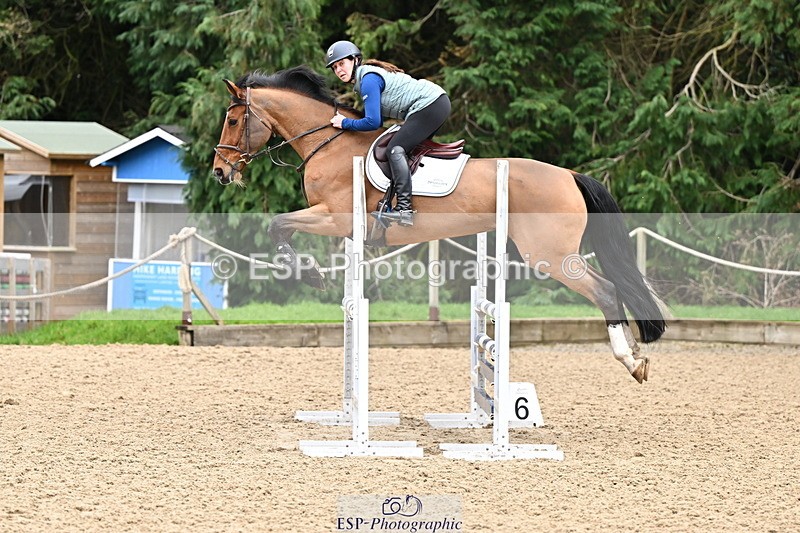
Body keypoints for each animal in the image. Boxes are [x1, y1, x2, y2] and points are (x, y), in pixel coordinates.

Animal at [212, 65, 666, 383]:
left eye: (233, 121)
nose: (220, 172)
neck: (329, 143)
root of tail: (570, 175)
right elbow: (281, 228)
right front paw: (310, 273)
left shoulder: (335, 217)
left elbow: (277, 226)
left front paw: (310, 275)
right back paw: (637, 358)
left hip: (549, 255)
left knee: (604, 291)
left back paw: (630, 361)